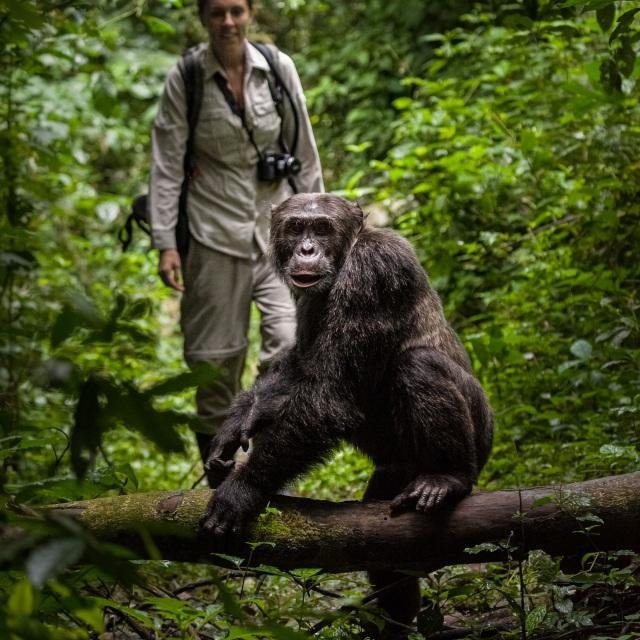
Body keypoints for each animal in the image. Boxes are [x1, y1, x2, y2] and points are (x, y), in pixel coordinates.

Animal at [200, 193, 493, 636]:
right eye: (297, 227)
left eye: (321, 228)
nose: (307, 249)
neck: (347, 254)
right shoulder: (304, 301)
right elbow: (302, 362)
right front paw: (236, 425)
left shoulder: (376, 273)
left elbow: (330, 394)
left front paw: (242, 488)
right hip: (392, 476)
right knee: (387, 558)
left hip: (478, 438)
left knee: (419, 365)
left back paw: (447, 477)